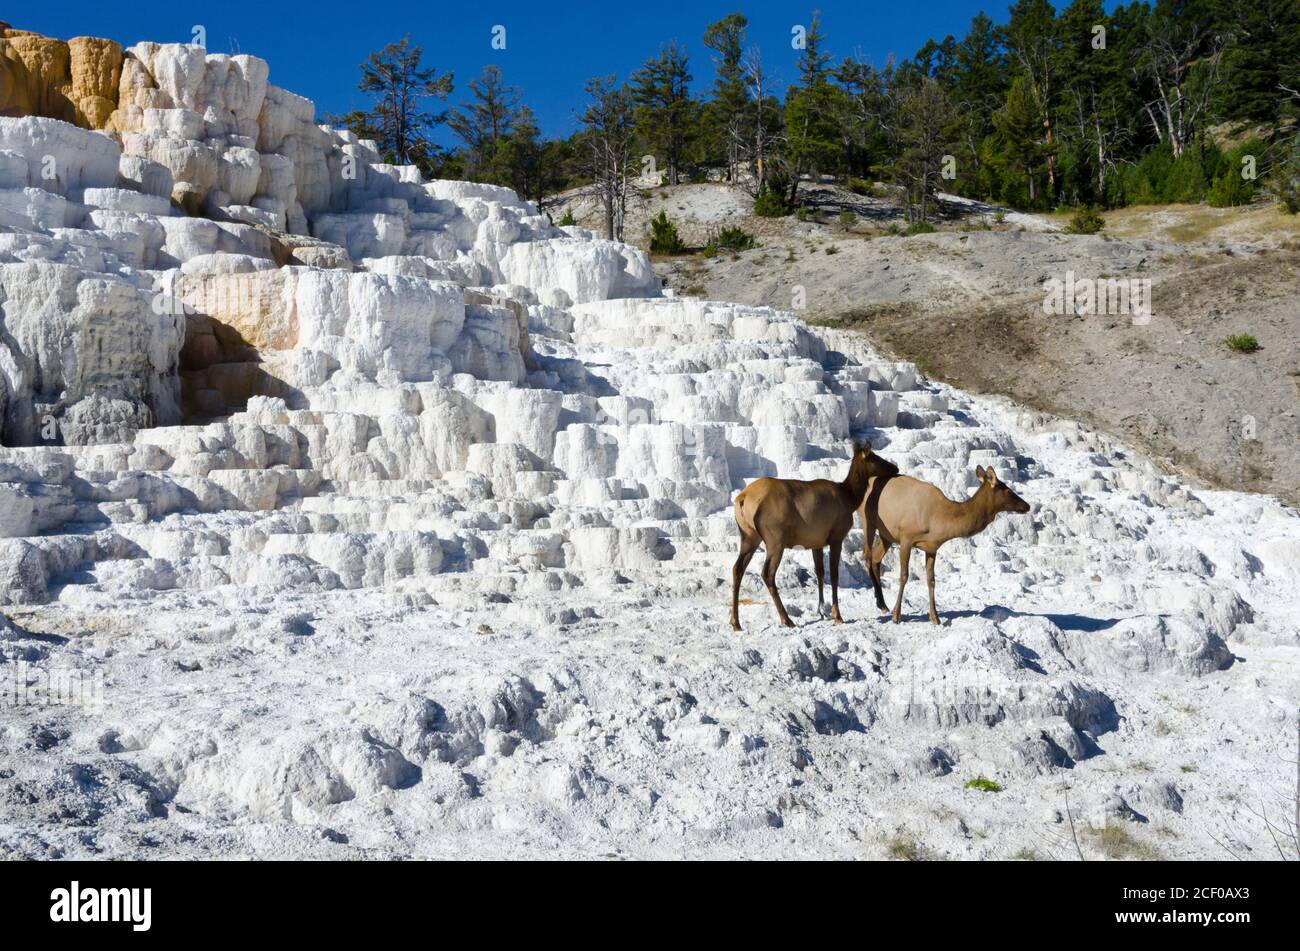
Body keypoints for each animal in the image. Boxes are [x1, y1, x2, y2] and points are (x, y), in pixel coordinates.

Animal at [728, 439, 899, 631]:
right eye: (876, 457)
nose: (895, 468)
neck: (850, 498)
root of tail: (742, 498)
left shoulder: (816, 542)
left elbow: (820, 573)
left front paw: (821, 610)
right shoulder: (836, 536)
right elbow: (834, 575)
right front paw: (837, 615)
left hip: (749, 536)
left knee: (737, 568)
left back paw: (736, 622)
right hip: (774, 538)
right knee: (767, 573)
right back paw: (787, 619)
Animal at [863, 465, 1034, 623]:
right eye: (1007, 490)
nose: (1027, 506)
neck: (939, 523)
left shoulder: (931, 547)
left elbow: (931, 580)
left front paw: (935, 618)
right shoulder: (906, 537)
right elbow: (904, 576)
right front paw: (896, 615)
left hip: (886, 535)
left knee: (875, 558)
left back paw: (882, 603)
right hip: (867, 520)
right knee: (867, 555)